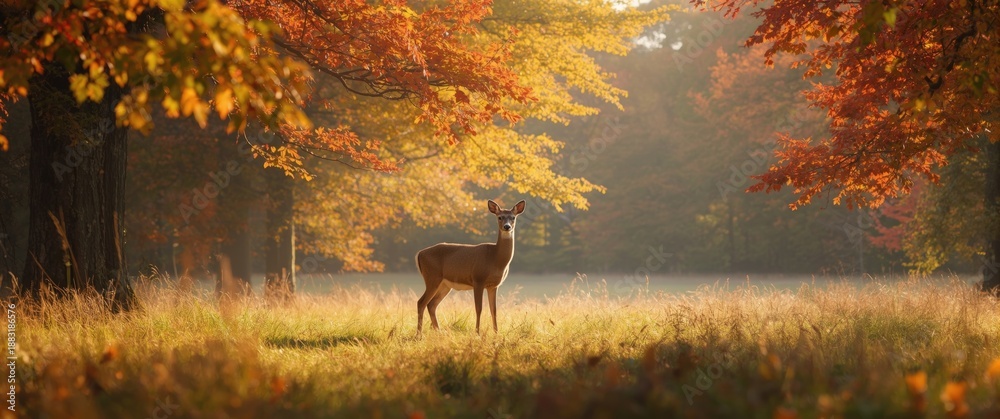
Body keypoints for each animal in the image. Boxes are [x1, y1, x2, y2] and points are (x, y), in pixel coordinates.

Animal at [415, 199, 526, 334]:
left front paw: (496, 333)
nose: (507, 226)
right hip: (432, 277)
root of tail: (419, 254)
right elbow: (479, 308)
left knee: (431, 304)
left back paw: (439, 332)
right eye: (500, 217)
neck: (495, 259)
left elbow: (494, 310)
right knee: (421, 302)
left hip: (445, 285)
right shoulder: (478, 279)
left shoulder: (493, 285)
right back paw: (419, 334)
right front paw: (477, 332)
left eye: (513, 217)